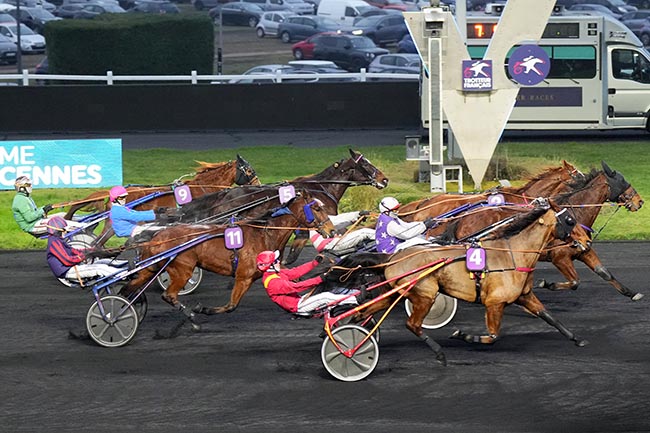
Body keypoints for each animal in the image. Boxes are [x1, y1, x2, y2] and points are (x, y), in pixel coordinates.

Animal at [123, 188, 334, 318]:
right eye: (316, 208)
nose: (331, 230)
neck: (265, 233)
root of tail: (158, 235)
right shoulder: (243, 277)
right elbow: (231, 306)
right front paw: (202, 309)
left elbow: (295, 280)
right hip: (182, 269)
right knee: (168, 295)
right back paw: (190, 315)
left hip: (152, 268)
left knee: (130, 288)